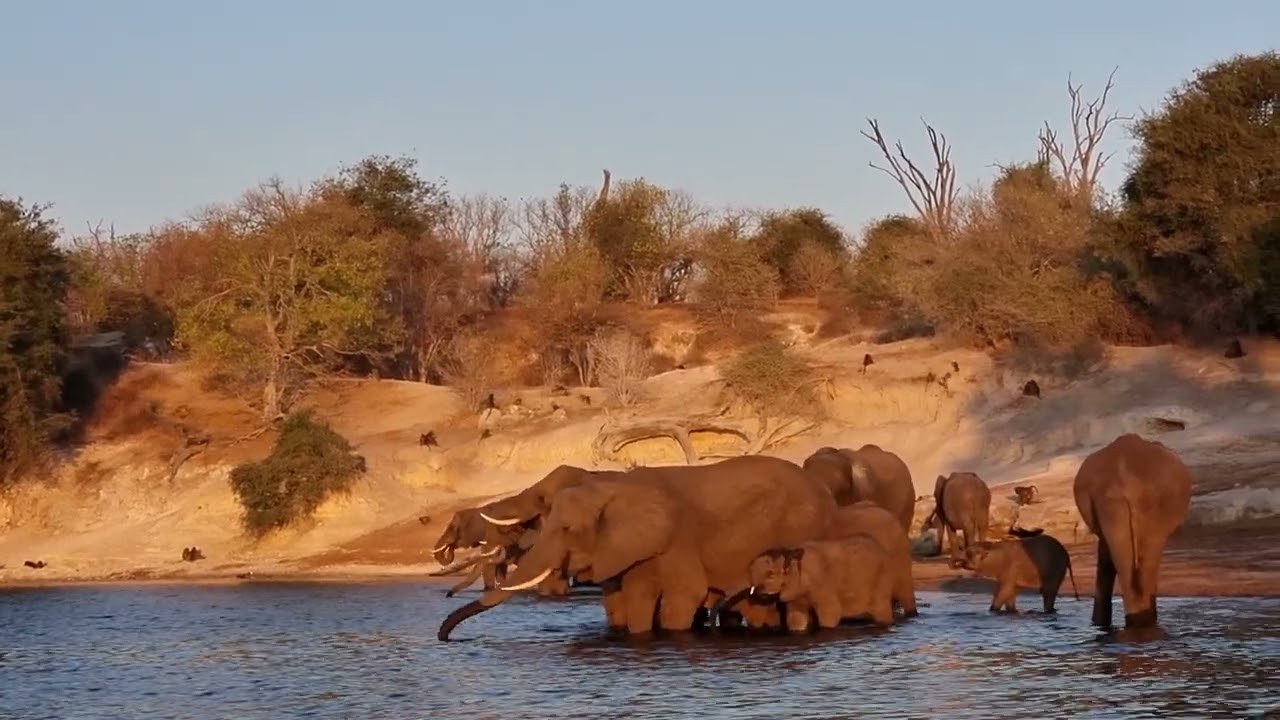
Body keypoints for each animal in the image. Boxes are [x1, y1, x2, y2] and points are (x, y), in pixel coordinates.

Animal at [437, 454, 840, 641]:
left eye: (566, 528)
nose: (444, 637)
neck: (609, 485)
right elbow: (626, 600)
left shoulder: (676, 537)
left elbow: (683, 595)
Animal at [724, 536, 897, 632]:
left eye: (770, 574)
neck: (791, 552)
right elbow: (796, 618)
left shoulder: (822, 585)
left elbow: (831, 612)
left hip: (881, 580)